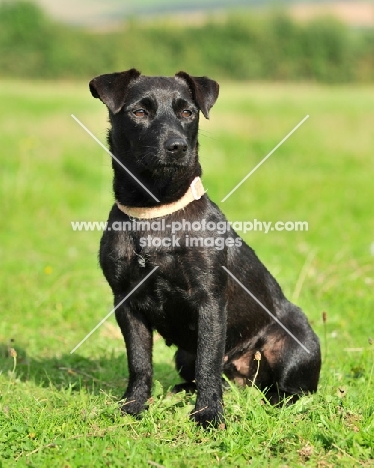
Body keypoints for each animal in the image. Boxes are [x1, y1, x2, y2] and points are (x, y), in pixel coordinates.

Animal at [89, 69, 320, 428]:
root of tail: (243, 376)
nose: (177, 147)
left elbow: (208, 362)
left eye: (188, 112)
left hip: (297, 348)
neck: (156, 210)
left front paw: (209, 413)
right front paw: (134, 405)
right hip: (183, 354)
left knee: (287, 390)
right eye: (139, 112)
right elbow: (139, 362)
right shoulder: (126, 302)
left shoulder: (209, 299)